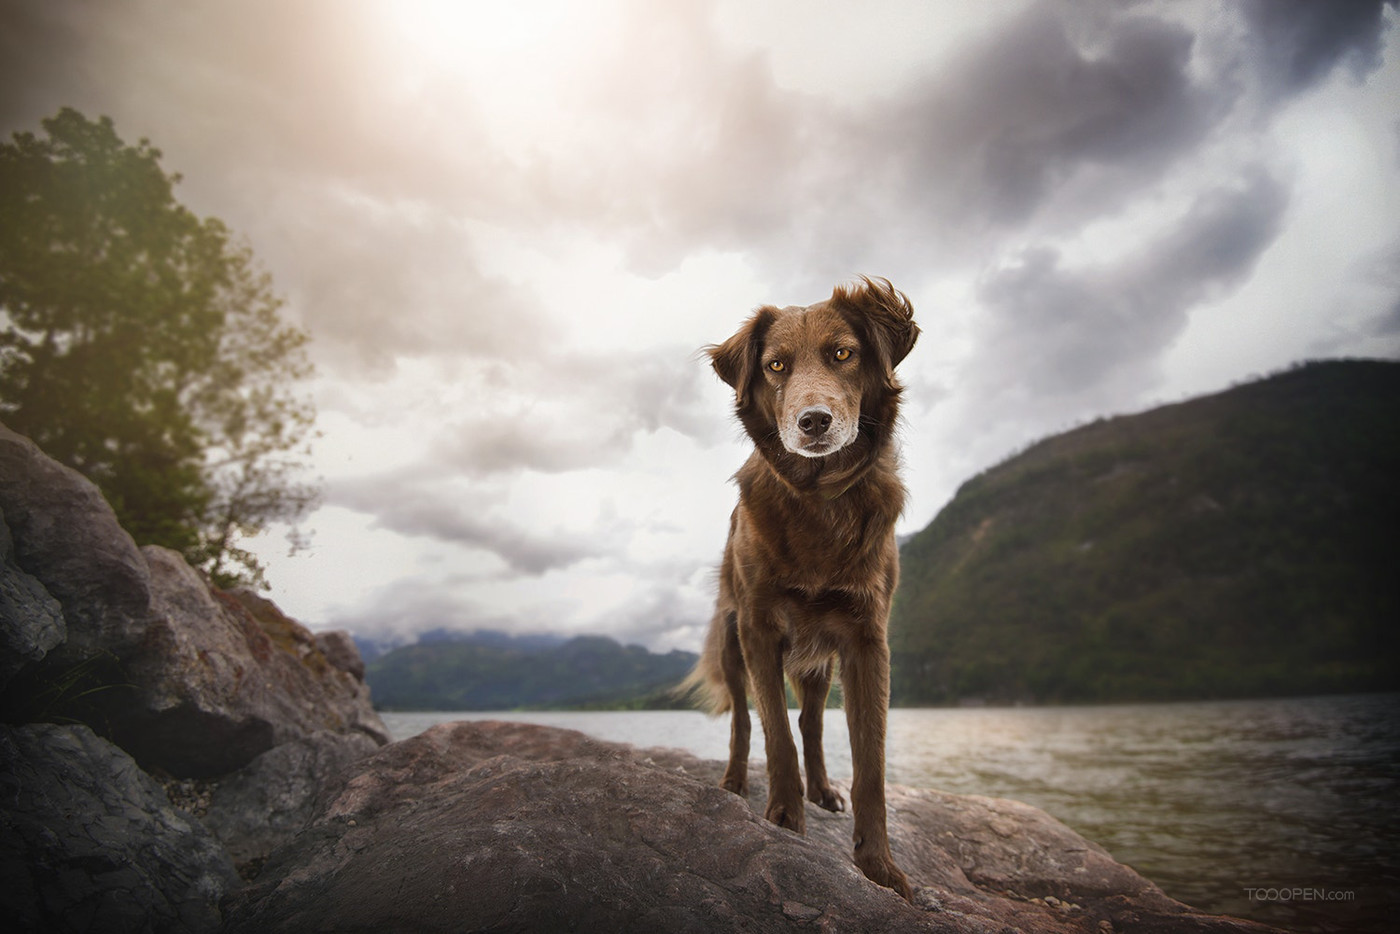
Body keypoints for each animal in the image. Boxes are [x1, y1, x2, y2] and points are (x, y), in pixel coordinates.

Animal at [680, 275, 918, 896]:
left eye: (843, 354)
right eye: (776, 366)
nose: (813, 421)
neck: (818, 500)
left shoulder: (866, 639)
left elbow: (869, 764)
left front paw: (879, 864)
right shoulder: (759, 628)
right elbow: (775, 735)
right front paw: (785, 819)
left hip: (820, 659)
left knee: (811, 720)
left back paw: (822, 789)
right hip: (730, 639)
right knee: (743, 721)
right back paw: (735, 781)